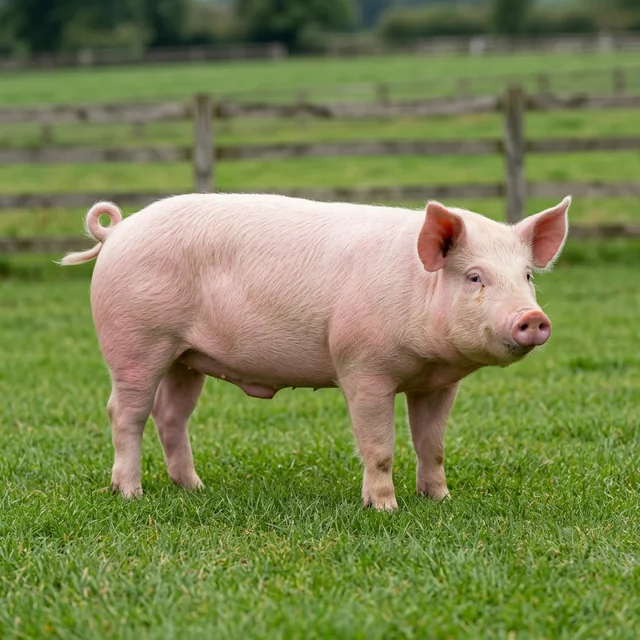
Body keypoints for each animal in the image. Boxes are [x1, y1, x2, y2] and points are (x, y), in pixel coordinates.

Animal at [61, 193, 571, 510]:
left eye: (526, 275)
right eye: (475, 277)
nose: (532, 317)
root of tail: (117, 233)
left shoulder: (438, 383)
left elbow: (433, 445)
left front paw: (441, 500)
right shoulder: (362, 367)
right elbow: (379, 446)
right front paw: (385, 508)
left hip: (185, 357)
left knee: (171, 416)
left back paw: (194, 489)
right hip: (135, 342)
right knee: (125, 413)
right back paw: (130, 494)